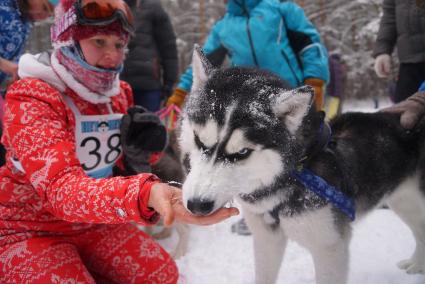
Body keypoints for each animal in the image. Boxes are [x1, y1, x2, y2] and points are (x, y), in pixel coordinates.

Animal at [179, 47, 424, 284]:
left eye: (242, 153)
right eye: (199, 140)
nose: (197, 205)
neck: (294, 172)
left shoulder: (330, 248)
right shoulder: (267, 238)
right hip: (403, 202)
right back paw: (416, 264)